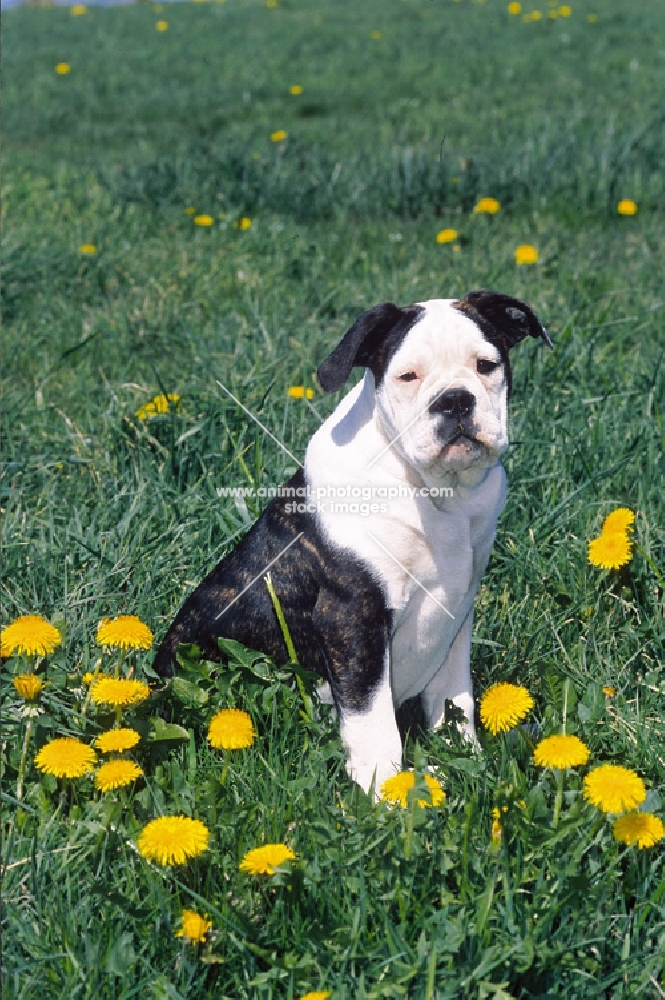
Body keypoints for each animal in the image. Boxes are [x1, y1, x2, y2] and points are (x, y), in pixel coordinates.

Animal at [154, 292, 548, 796]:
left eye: (486, 365)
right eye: (407, 376)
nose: (455, 400)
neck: (437, 493)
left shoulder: (456, 612)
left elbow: (454, 700)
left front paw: (466, 760)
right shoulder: (352, 617)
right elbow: (371, 720)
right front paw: (386, 795)